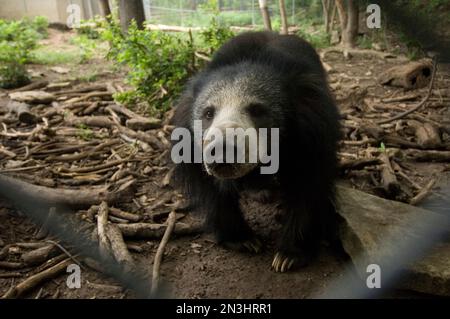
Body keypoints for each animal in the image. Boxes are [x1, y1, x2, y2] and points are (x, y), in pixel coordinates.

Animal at [171, 31, 340, 272]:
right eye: (208, 113)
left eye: (257, 110)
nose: (222, 149)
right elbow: (212, 190)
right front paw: (244, 240)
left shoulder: (313, 131)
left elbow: (309, 183)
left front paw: (289, 256)